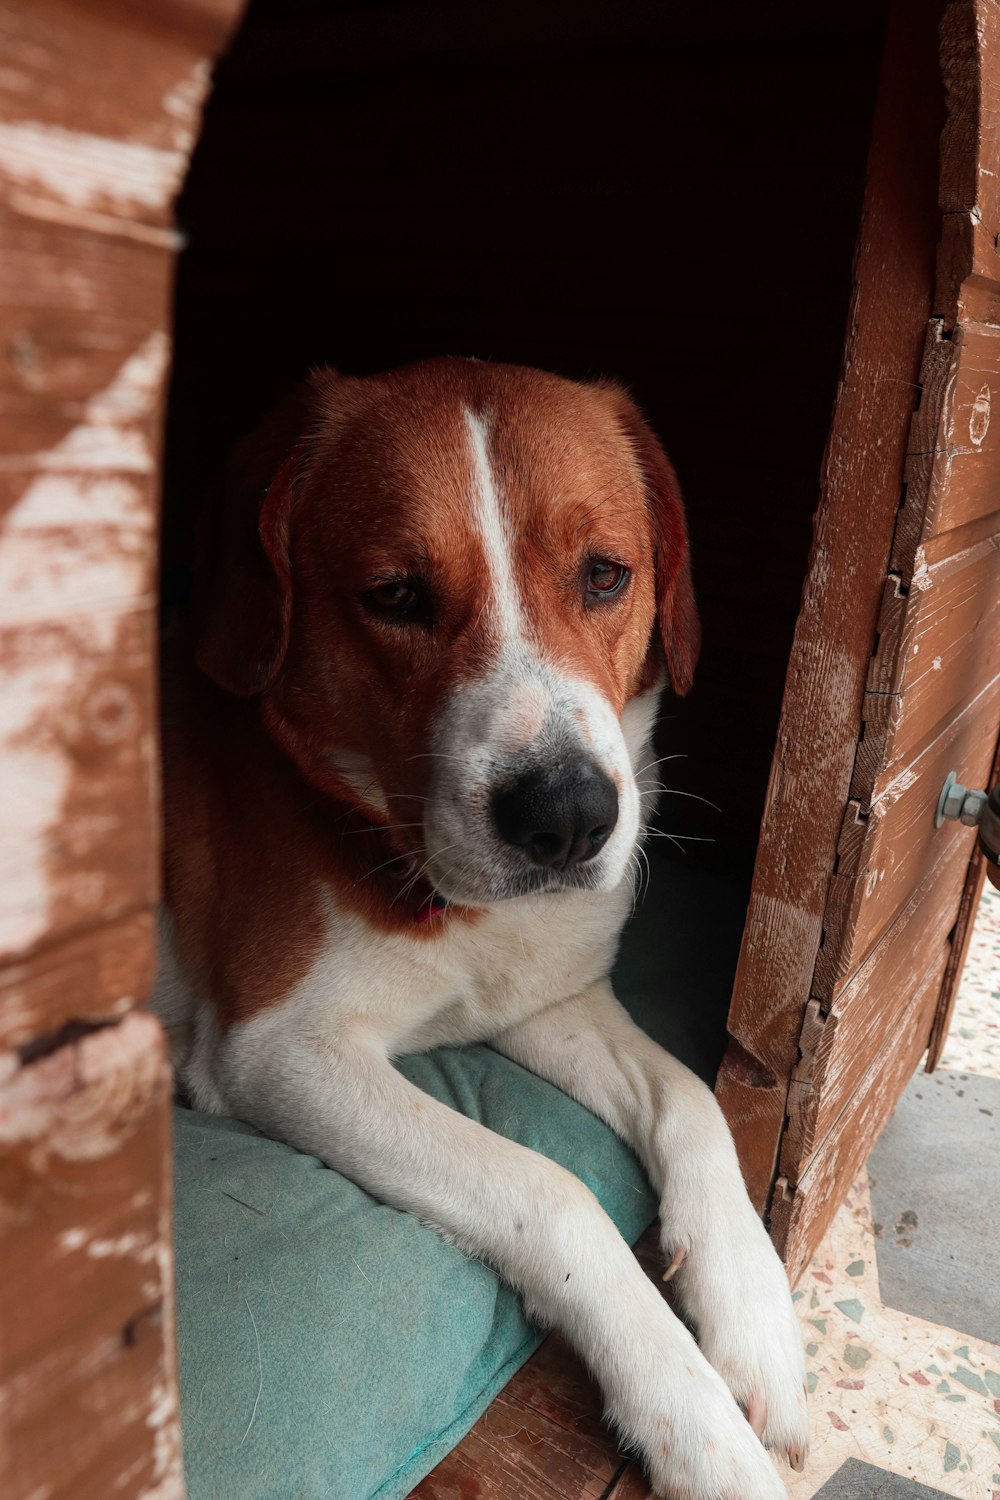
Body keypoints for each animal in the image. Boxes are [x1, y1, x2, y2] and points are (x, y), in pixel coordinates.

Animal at [158, 357, 815, 1494]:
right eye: (393, 595)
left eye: (605, 575)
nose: (568, 816)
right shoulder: (280, 1052)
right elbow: (551, 1191)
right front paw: (694, 1424)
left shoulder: (549, 1002)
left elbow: (692, 1100)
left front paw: (754, 1318)